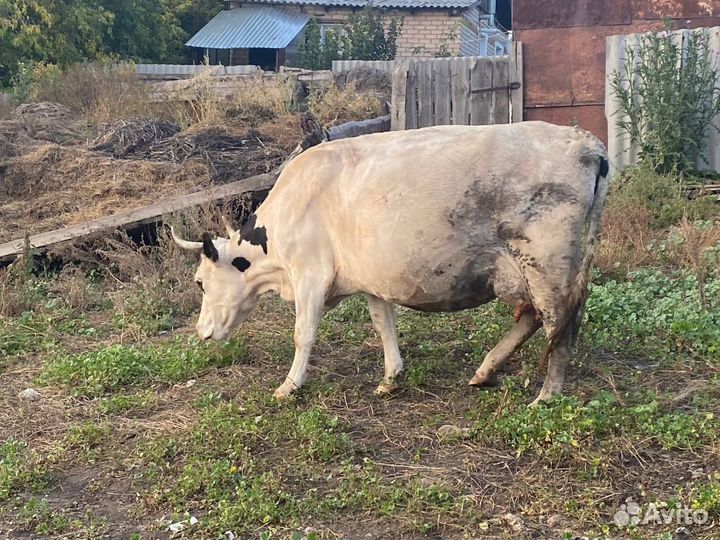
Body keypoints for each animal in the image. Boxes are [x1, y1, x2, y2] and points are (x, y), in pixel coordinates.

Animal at [172, 121, 609, 405]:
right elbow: (384, 325)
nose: (201, 332)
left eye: (199, 281)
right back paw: (485, 371)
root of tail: (587, 143)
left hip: (548, 265)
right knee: (534, 317)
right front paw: (392, 377)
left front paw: (289, 386)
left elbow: (303, 333)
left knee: (562, 326)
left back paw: (546, 395)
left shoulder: (310, 274)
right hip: (526, 271)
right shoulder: (369, 278)